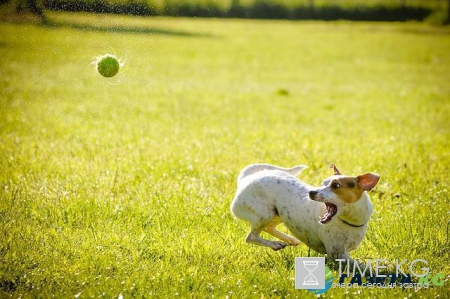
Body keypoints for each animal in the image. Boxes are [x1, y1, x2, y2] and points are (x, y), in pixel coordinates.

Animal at [232, 164, 380, 262]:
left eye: (336, 185)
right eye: (323, 183)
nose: (311, 192)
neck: (349, 222)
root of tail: (246, 178)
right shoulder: (337, 254)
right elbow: (362, 266)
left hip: (278, 214)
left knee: (268, 228)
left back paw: (289, 239)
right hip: (265, 213)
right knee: (251, 237)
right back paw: (275, 244)